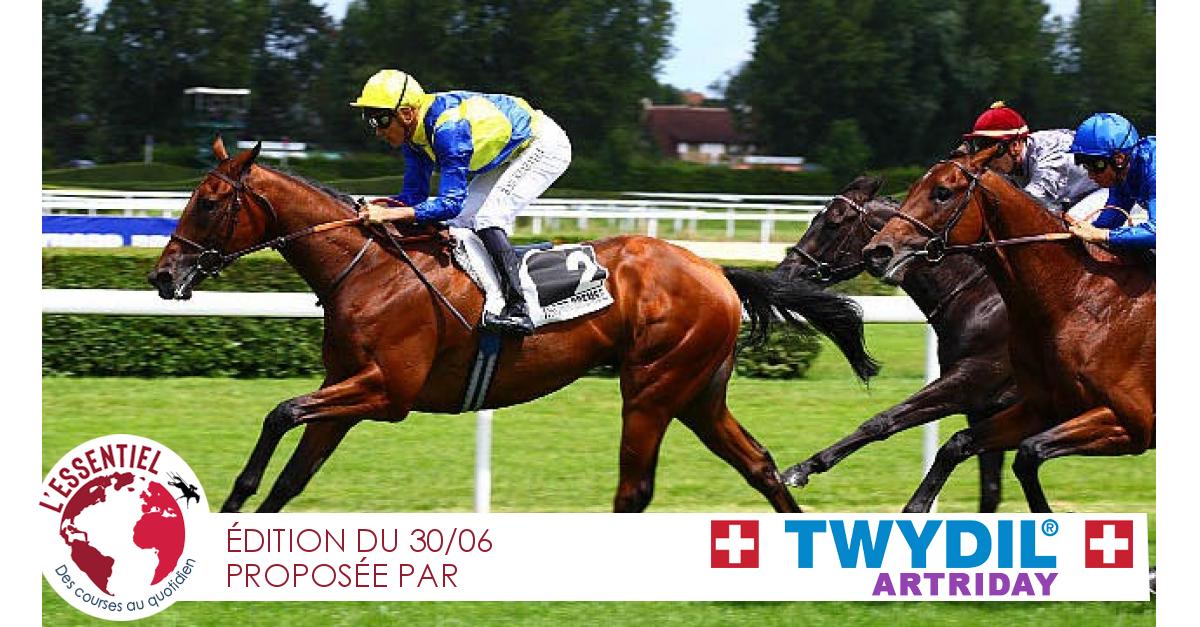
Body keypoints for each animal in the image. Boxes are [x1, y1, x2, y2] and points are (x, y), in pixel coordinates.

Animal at [147, 137, 878, 514]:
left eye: (208, 202)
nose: (163, 274)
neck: (370, 269)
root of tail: (716, 270)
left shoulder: (386, 392)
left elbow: (279, 412)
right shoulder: (347, 390)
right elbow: (291, 475)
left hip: (652, 387)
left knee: (634, 488)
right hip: (698, 391)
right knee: (759, 465)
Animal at [773, 175, 1018, 512]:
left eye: (833, 222)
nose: (784, 271)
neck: (981, 297)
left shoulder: (972, 380)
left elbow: (882, 421)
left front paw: (801, 469)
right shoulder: (984, 407)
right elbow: (990, 487)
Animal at [863, 144, 1155, 512]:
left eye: (942, 192)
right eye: (913, 186)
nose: (877, 251)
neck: (1077, 296)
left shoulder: (1131, 423)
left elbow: (1028, 453)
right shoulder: (1040, 409)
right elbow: (958, 445)